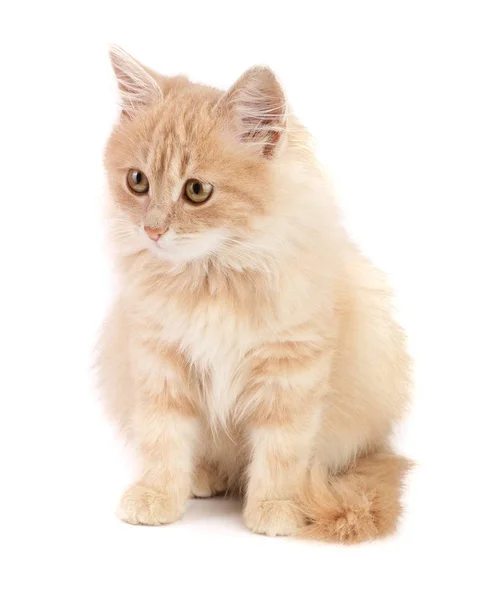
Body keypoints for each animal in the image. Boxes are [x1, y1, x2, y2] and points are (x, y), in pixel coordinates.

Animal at [98, 47, 410, 544]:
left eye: (197, 190)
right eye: (137, 182)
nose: (152, 230)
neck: (212, 279)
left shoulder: (293, 367)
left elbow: (282, 449)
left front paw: (275, 508)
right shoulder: (158, 358)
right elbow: (163, 437)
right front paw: (158, 494)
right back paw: (202, 477)